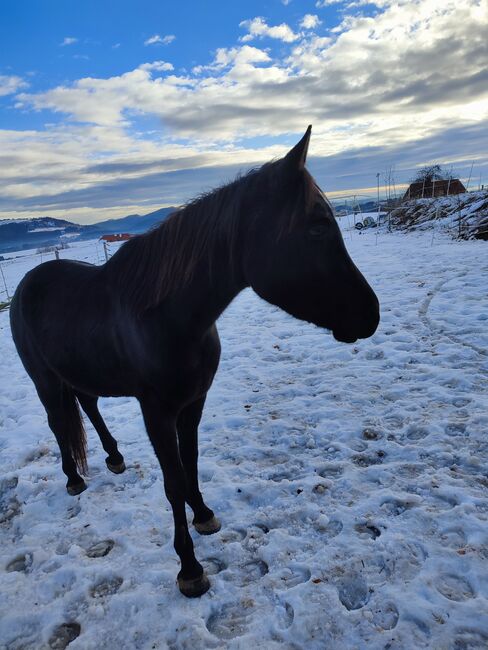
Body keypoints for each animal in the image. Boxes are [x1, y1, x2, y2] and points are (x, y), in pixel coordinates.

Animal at [9, 125, 380, 592]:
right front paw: (189, 568)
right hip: (43, 378)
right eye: (316, 228)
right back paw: (74, 479)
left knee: (88, 405)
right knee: (59, 422)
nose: (371, 314)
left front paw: (203, 514)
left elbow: (193, 463)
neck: (169, 318)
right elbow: (172, 481)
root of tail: (26, 283)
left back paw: (114, 458)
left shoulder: (193, 403)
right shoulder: (157, 412)